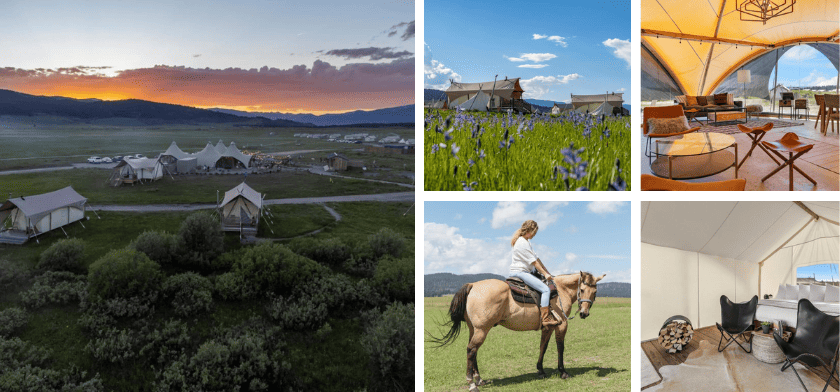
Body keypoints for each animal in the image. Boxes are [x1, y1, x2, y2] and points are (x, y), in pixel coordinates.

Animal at [430, 272, 600, 390]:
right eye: (582, 289)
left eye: (595, 292)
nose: (584, 313)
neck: (560, 292)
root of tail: (472, 285)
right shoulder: (561, 325)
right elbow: (560, 348)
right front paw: (563, 371)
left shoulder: (548, 327)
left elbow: (543, 347)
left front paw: (541, 370)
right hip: (482, 330)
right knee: (471, 350)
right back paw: (472, 384)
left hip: (475, 329)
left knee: (473, 351)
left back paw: (479, 379)